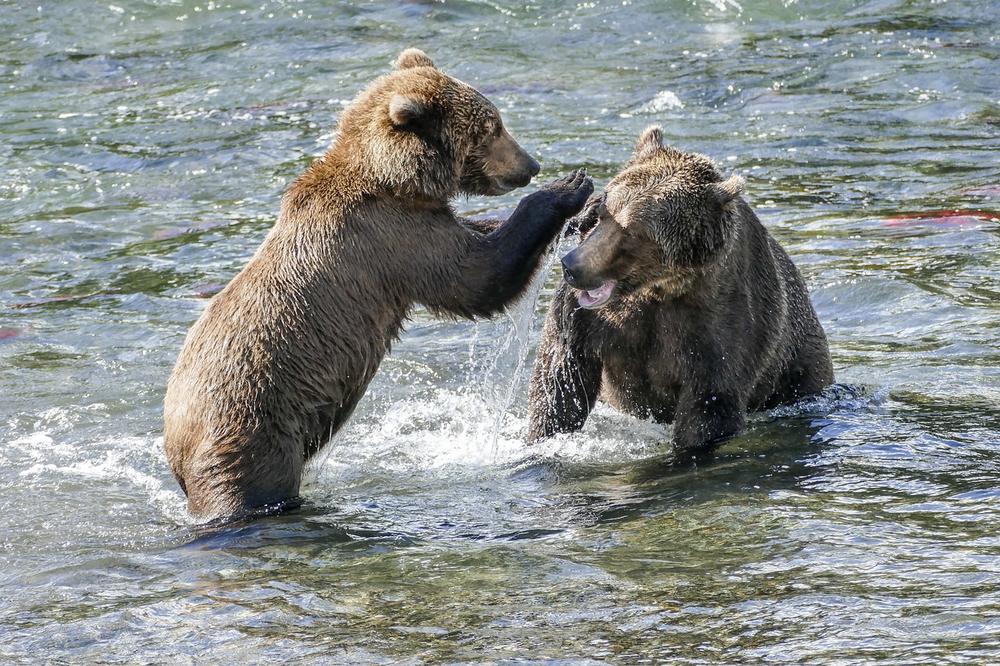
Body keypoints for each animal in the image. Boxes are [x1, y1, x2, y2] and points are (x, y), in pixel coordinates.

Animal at [164, 49, 592, 520]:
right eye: (491, 128)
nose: (530, 166)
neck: (395, 180)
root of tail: (174, 442)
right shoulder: (392, 239)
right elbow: (476, 277)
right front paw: (568, 188)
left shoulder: (420, 221)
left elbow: (478, 236)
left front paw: (581, 211)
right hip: (252, 427)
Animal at [528, 126, 832, 452]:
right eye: (604, 211)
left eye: (632, 231)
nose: (572, 266)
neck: (659, 287)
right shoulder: (591, 320)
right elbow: (561, 381)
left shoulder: (719, 322)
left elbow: (709, 403)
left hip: (798, 364)